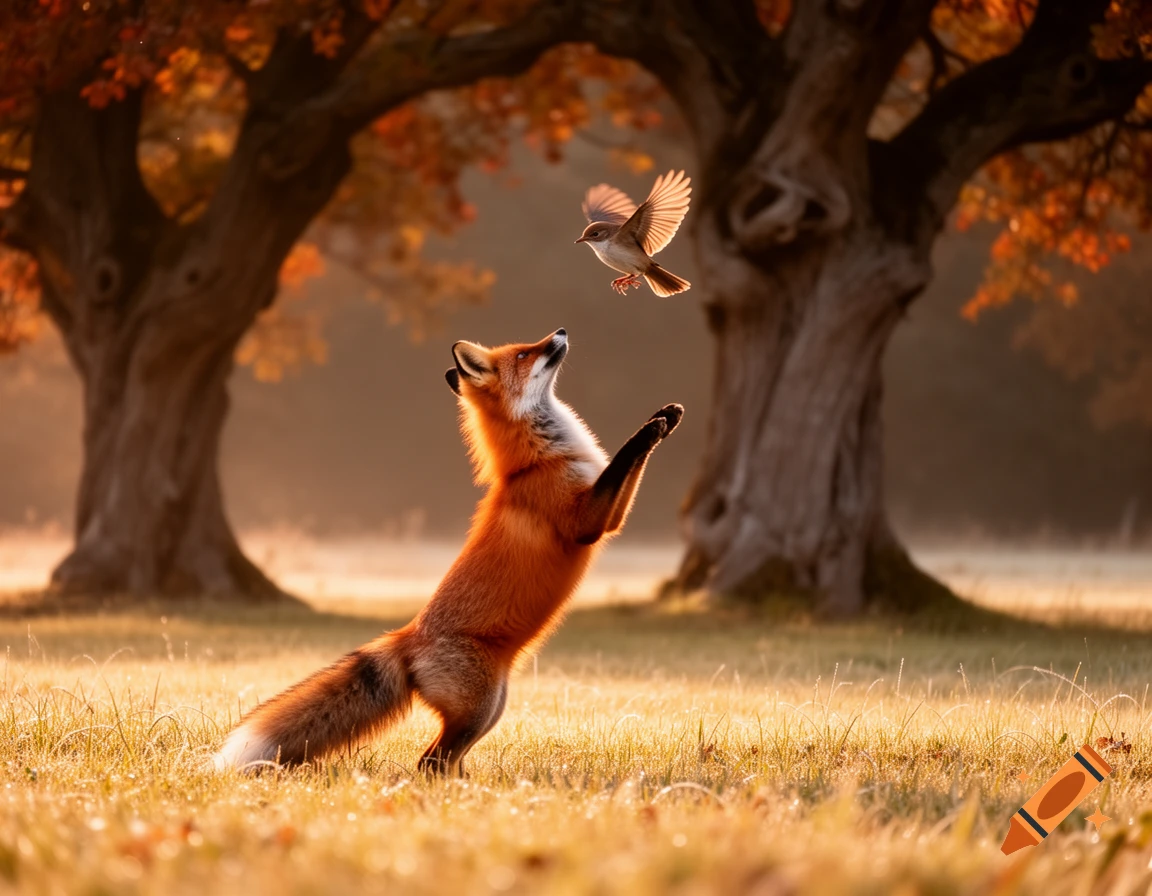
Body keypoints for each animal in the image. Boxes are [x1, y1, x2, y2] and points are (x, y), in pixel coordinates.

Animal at [212, 328, 683, 775]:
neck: (537, 461)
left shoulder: (609, 518)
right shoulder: (586, 522)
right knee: (431, 761)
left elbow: (623, 472)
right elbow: (623, 459)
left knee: (446, 761)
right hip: (479, 709)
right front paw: (650, 429)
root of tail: (407, 636)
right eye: (524, 354)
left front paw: (666, 416)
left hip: (492, 708)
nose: (561, 332)